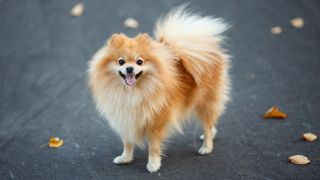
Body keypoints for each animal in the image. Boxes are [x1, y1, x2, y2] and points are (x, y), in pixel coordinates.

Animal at [89, 4, 231, 172]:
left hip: (205, 102)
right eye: (121, 61)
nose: (129, 68)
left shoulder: (156, 123)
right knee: (211, 123)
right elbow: (127, 143)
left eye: (139, 61)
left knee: (207, 125)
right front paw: (125, 158)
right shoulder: (126, 120)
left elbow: (153, 147)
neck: (132, 93)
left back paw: (206, 146)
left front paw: (153, 164)